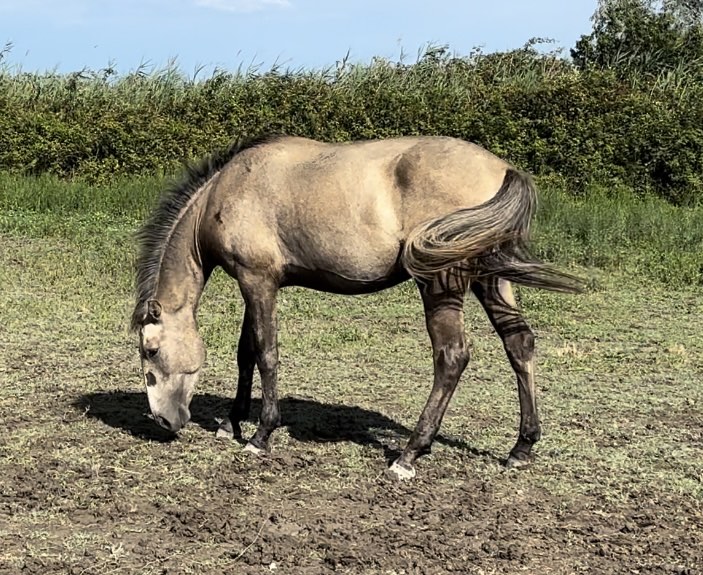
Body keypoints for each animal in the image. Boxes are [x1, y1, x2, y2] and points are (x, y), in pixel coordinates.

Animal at [132, 135, 584, 482]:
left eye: (150, 351)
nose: (163, 421)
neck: (226, 190)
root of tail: (502, 170)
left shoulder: (257, 282)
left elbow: (265, 353)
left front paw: (261, 436)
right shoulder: (256, 284)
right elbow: (246, 353)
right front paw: (231, 423)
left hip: (442, 284)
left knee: (452, 356)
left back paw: (410, 454)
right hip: (491, 280)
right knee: (518, 343)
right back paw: (521, 447)